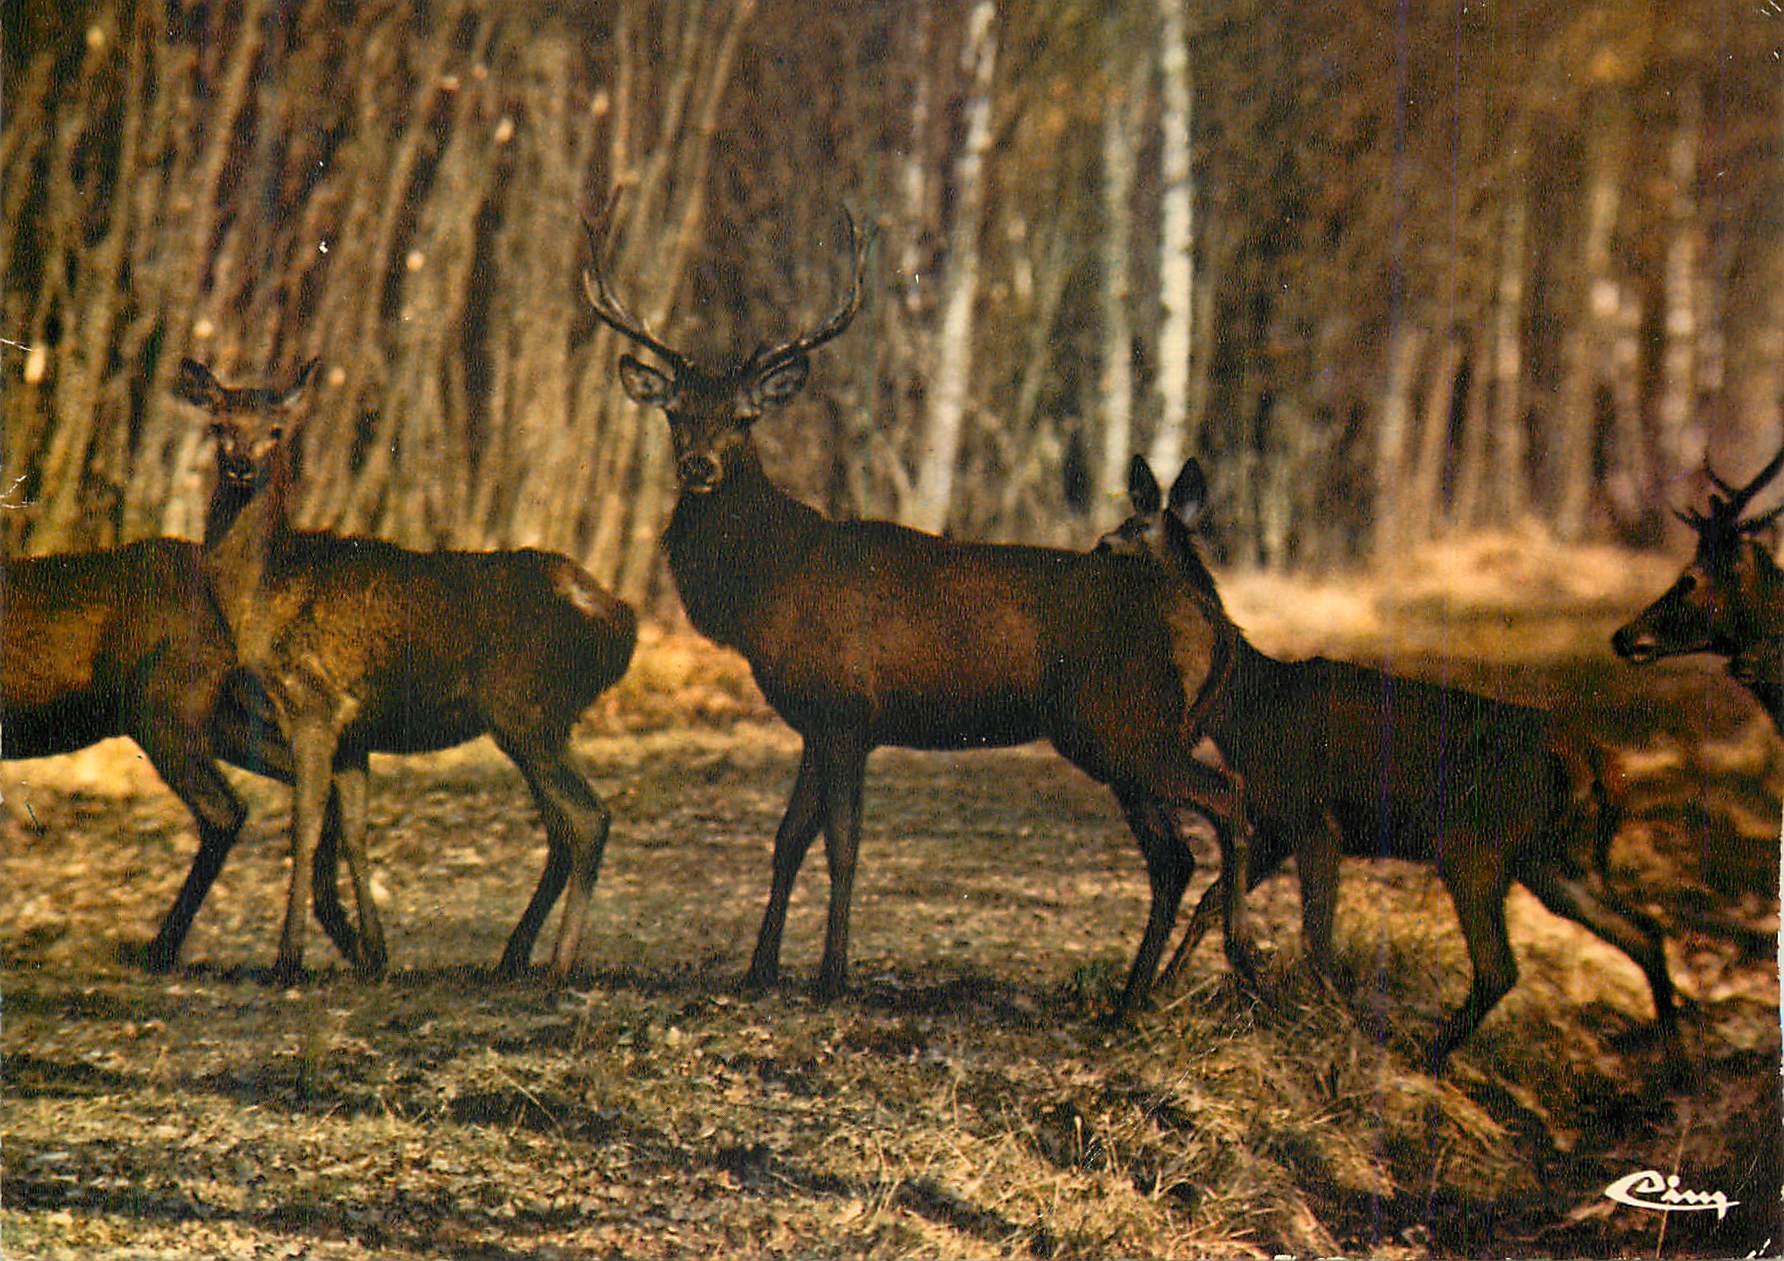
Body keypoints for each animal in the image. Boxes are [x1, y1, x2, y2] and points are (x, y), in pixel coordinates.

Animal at [175, 357, 637, 982]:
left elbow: (305, 826)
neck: (261, 597)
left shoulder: (311, 703)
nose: (242, 464)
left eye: (276, 430)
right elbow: (354, 832)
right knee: (564, 826)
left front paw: (287, 960)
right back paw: (513, 957)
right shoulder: (354, 732)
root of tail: (615, 612)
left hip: (526, 709)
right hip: (545, 721)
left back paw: (559, 966)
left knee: (589, 819)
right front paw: (376, 956)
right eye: (220, 424)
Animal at [580, 209, 1255, 1018]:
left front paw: (831, 977)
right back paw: (1146, 996)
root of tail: (1215, 624)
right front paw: (759, 969)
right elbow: (788, 837)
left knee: (1222, 807)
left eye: (744, 418)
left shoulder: (847, 709)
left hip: (1120, 723)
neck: (769, 587)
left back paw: (1217, 976)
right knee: (1180, 850)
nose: (699, 466)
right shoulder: (816, 719)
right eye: (676, 413)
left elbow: (842, 845)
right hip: (1127, 734)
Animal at [1098, 455, 1679, 1069]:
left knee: (1500, 966)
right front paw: (1162, 990)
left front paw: (1341, 1029)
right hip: (1553, 858)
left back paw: (1425, 1059)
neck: (1248, 707)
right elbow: (1214, 901)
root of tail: (1590, 758)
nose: (1092, 551)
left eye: (1121, 538)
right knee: (1645, 932)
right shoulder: (1272, 822)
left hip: (1474, 842)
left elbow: (1316, 940)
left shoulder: (1313, 818)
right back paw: (1674, 1064)